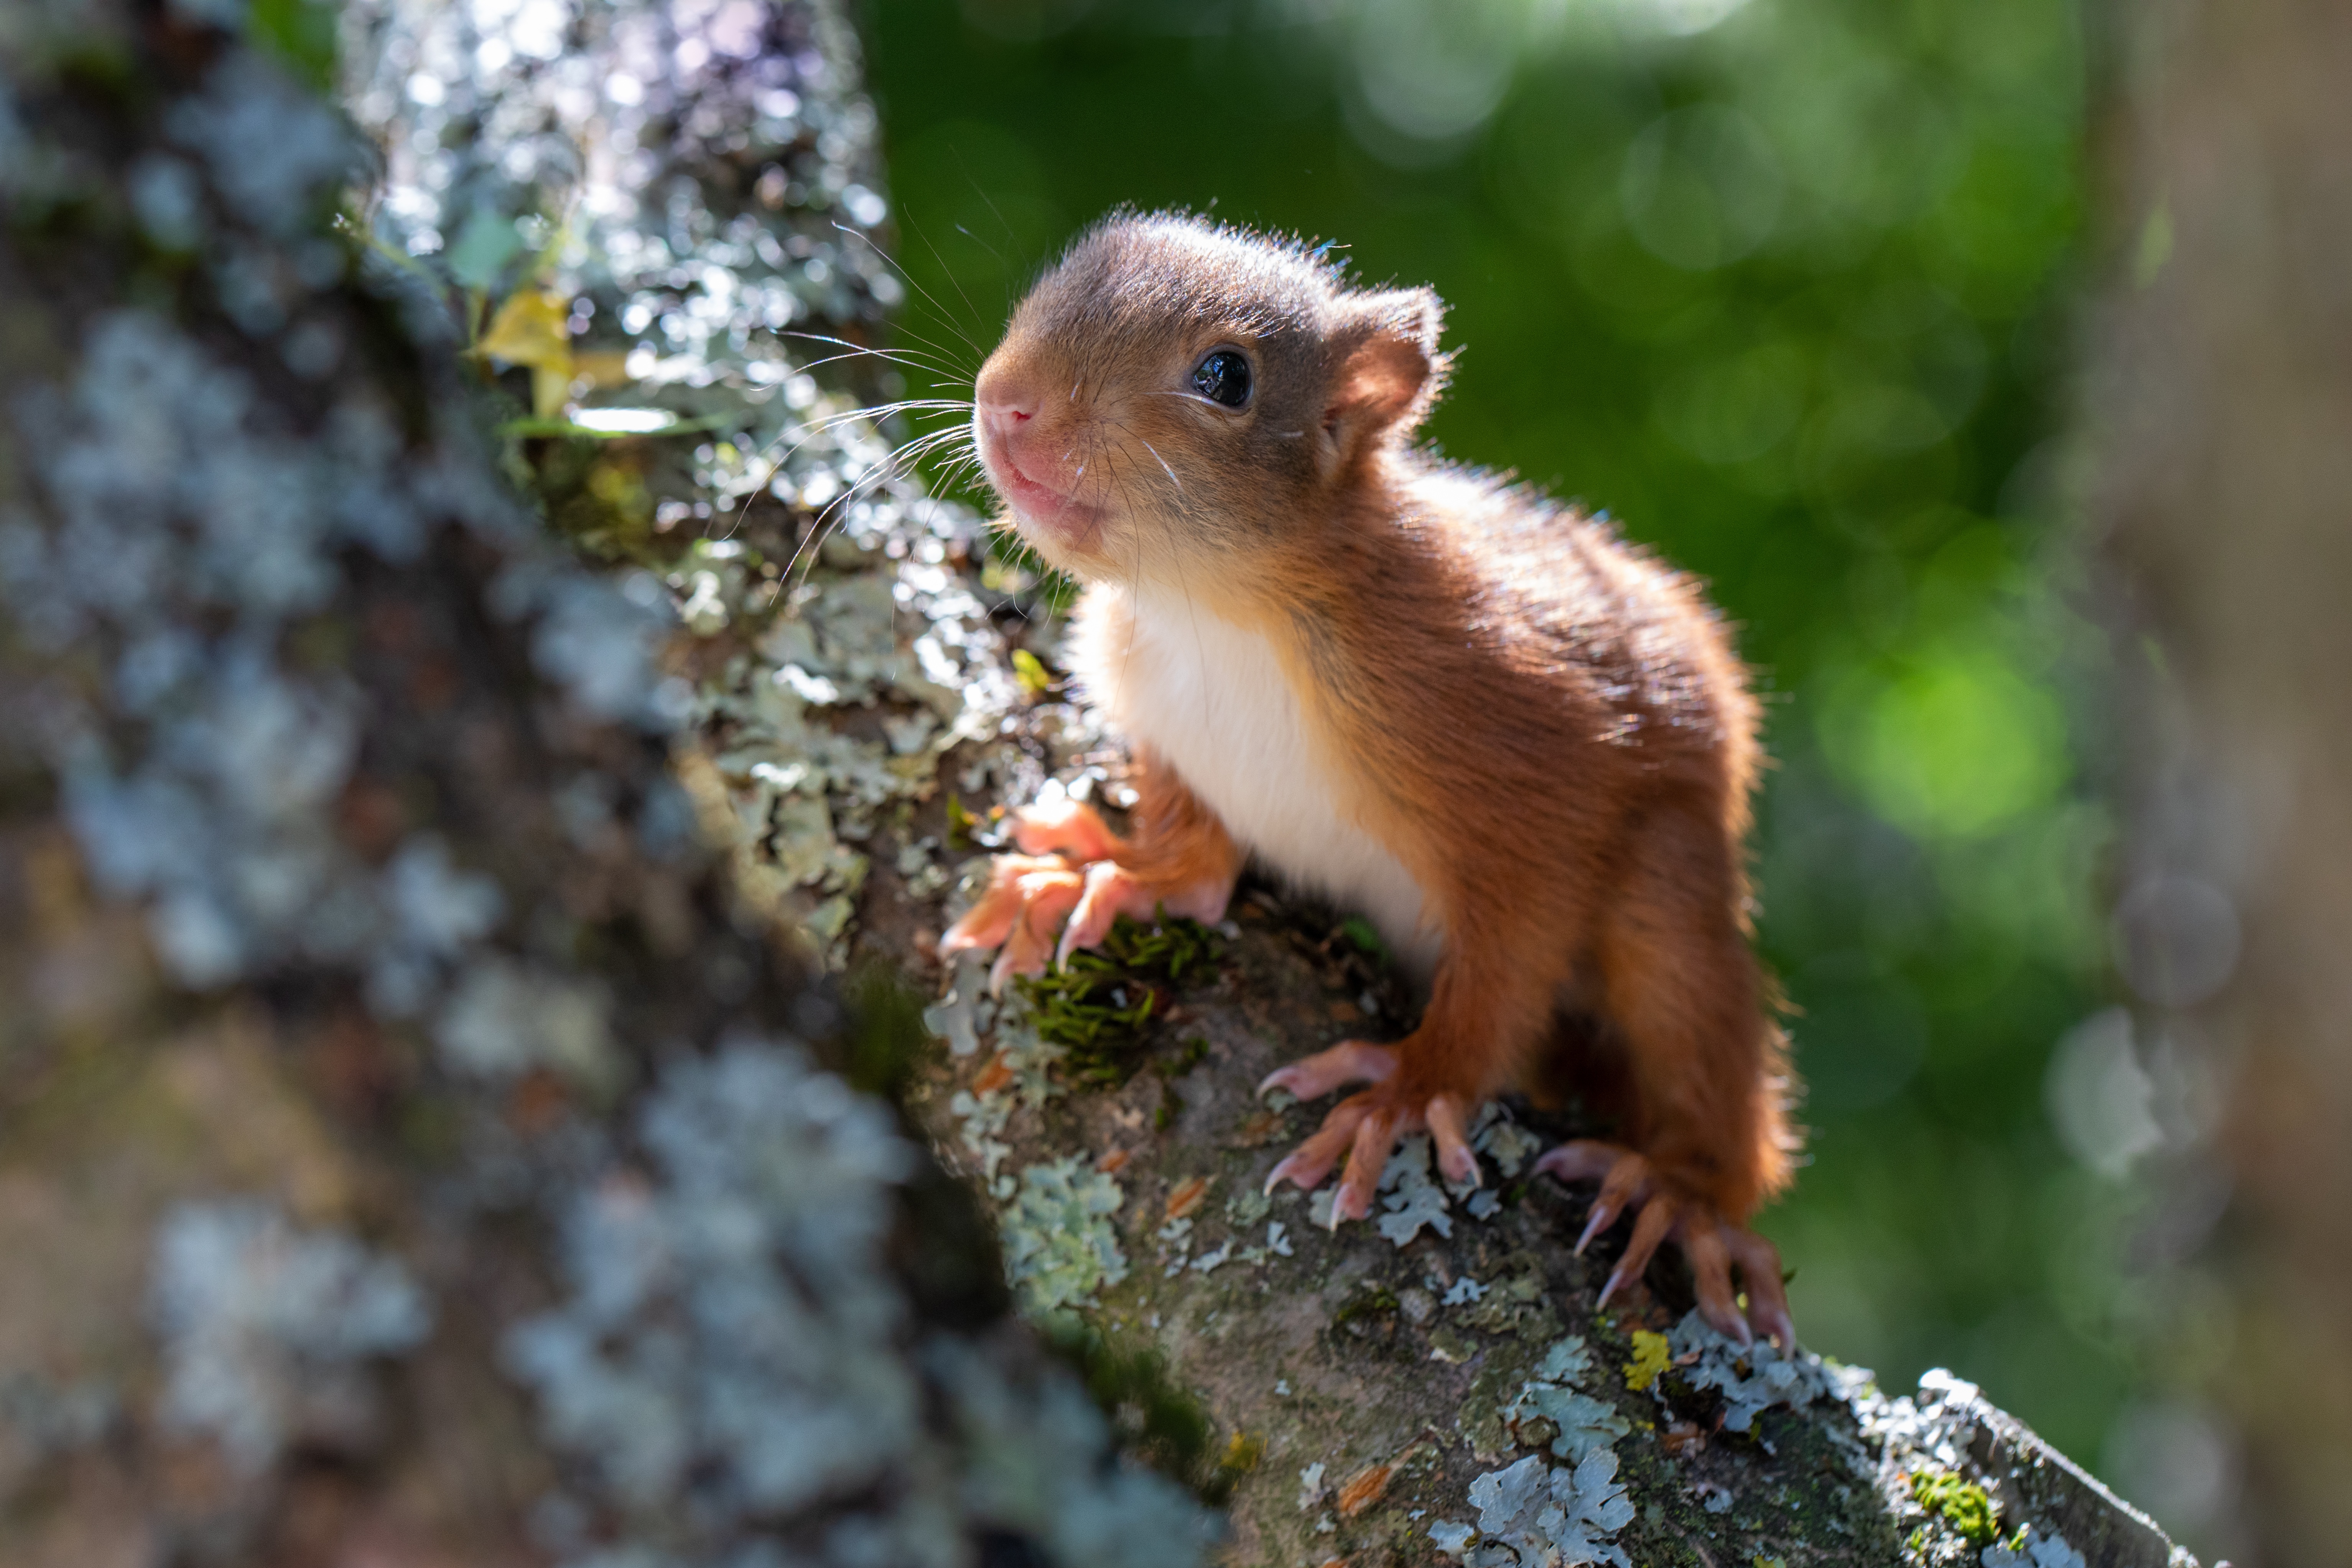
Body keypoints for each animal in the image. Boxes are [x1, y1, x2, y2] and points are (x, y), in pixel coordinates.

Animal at [936, 208, 1797, 1354]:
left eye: (1226, 376)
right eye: (1050, 286)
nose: (1006, 401)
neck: (1218, 612)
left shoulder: (1524, 747)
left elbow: (1514, 948)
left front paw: (1408, 1087)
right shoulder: (1160, 718)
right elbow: (1193, 853)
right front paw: (1112, 875)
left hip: (1670, 884)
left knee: (1701, 1040)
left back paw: (1685, 1196)